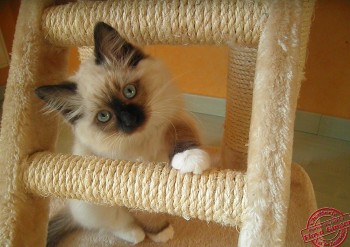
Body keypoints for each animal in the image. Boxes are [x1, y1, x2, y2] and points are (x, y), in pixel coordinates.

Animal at [35, 22, 211, 246]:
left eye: (129, 91)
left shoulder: (173, 120)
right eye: (104, 116)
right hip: (96, 205)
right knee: (110, 225)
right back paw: (135, 234)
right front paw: (161, 232)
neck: (144, 138)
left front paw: (190, 159)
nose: (129, 120)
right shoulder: (128, 181)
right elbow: (146, 213)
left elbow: (182, 137)